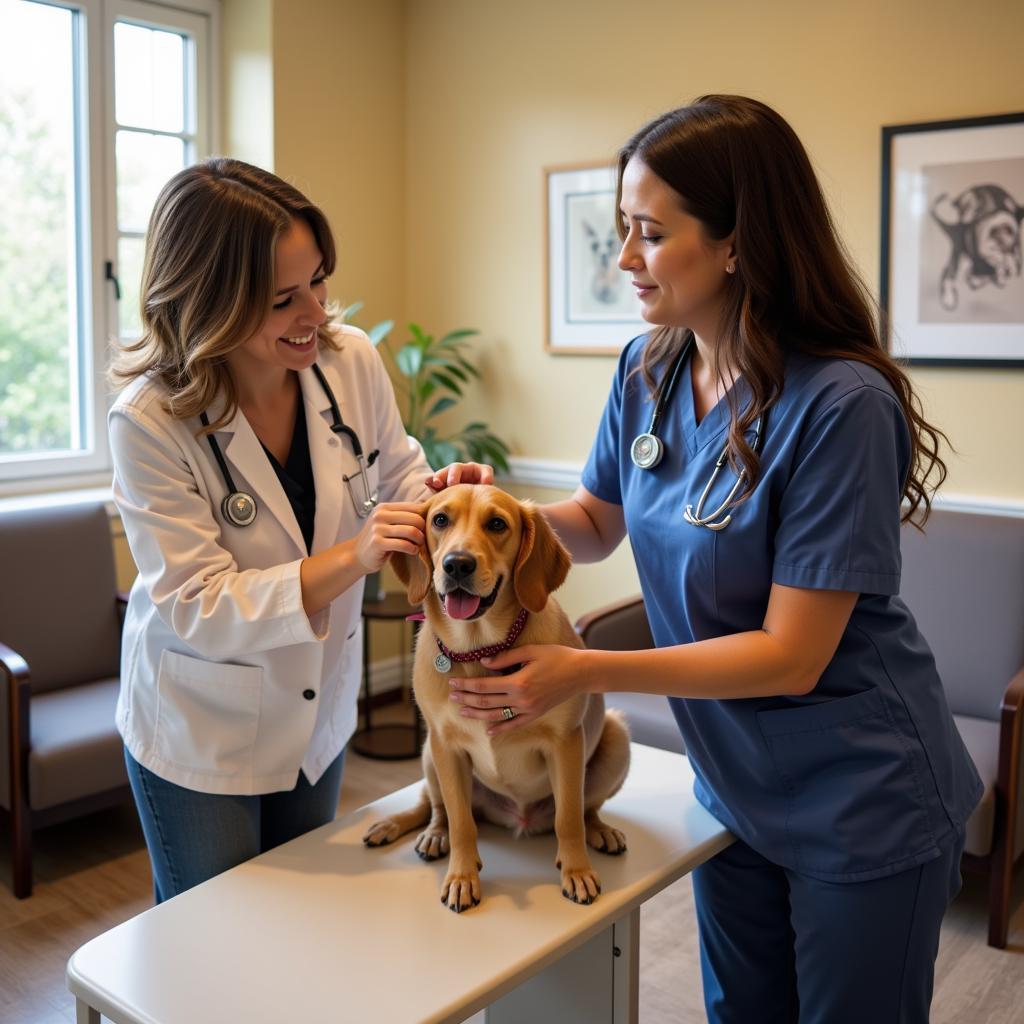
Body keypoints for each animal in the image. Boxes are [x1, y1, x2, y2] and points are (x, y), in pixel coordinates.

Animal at [360, 485, 630, 913]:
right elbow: (460, 822)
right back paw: (415, 829)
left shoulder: (566, 743)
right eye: (440, 519)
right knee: (433, 807)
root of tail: (516, 820)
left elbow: (569, 818)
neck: (478, 650)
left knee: (587, 809)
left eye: (497, 524)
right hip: (428, 752)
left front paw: (577, 870)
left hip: (617, 735)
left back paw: (600, 831)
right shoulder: (446, 746)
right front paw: (461, 876)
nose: (457, 564)